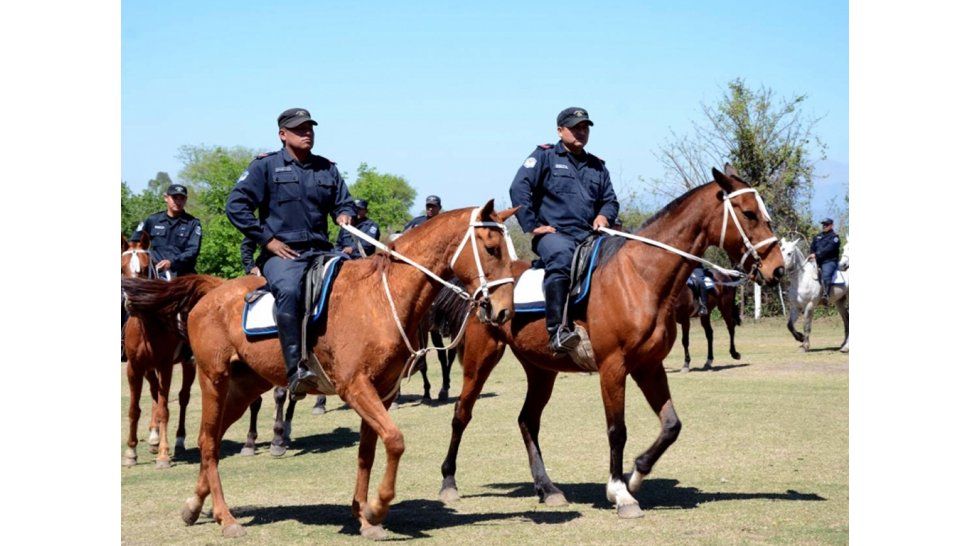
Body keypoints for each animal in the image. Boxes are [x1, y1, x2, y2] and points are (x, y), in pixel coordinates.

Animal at [122, 202, 517, 539]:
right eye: (491, 248)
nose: (503, 311)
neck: (381, 296)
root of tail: (213, 291)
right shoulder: (355, 388)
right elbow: (395, 440)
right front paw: (376, 508)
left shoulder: (382, 392)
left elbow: (368, 452)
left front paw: (364, 516)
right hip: (213, 380)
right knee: (206, 443)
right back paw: (226, 518)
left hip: (242, 388)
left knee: (213, 440)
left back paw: (194, 505)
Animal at [434, 167, 785, 519]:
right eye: (749, 213)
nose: (778, 268)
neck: (639, 277)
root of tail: (480, 290)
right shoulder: (612, 367)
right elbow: (617, 430)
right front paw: (620, 493)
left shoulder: (649, 366)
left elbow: (671, 425)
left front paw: (635, 476)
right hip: (481, 359)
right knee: (462, 412)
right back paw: (449, 482)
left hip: (541, 370)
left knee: (527, 421)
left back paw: (547, 489)